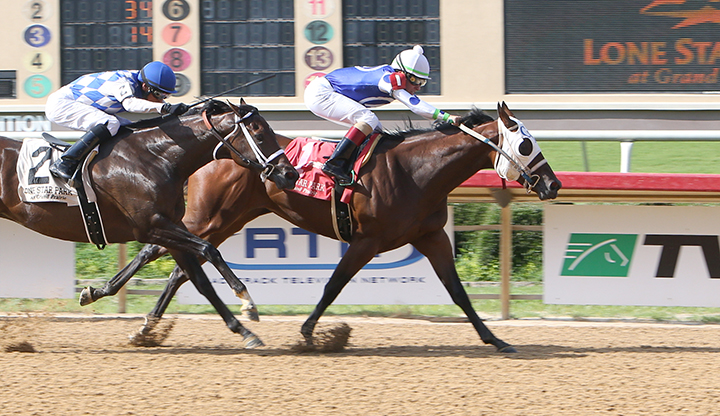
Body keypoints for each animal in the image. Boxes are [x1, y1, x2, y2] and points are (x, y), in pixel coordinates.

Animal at [0, 99, 298, 348]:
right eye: (260, 135)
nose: (290, 174)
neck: (156, 159)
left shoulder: (170, 227)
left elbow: (199, 281)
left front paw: (245, 332)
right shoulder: (151, 226)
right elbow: (209, 250)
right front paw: (247, 301)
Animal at [83, 102, 561, 352]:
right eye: (525, 144)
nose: (553, 183)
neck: (417, 170)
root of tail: (213, 149)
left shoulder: (432, 237)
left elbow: (459, 293)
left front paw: (495, 339)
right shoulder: (367, 240)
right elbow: (334, 285)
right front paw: (309, 333)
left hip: (227, 219)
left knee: (181, 264)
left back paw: (148, 326)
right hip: (209, 215)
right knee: (166, 252)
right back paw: (121, 305)